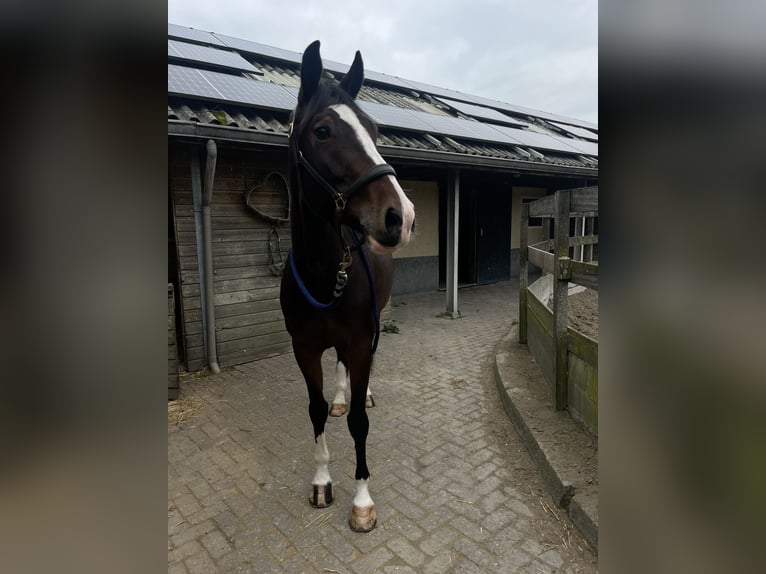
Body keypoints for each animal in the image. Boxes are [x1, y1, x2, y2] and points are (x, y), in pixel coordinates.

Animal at [280, 41, 416, 536]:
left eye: (375, 130)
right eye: (322, 131)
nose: (401, 216)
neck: (325, 273)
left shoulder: (359, 341)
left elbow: (359, 422)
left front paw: (362, 501)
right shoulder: (303, 347)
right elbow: (316, 410)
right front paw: (322, 480)